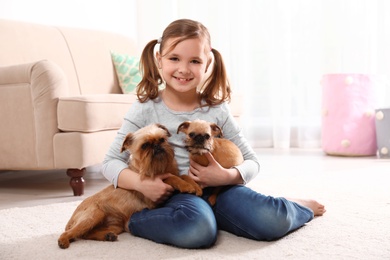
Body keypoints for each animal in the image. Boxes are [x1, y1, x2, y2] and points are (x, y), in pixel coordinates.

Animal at [59, 125, 203, 249]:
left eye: (162, 139)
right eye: (145, 145)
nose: (157, 146)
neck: (160, 167)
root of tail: (71, 220)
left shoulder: (174, 173)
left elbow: (184, 176)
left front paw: (195, 186)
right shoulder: (151, 193)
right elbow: (171, 178)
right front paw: (186, 186)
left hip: (114, 226)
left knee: (85, 234)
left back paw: (108, 236)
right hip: (94, 214)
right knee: (72, 233)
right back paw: (63, 241)